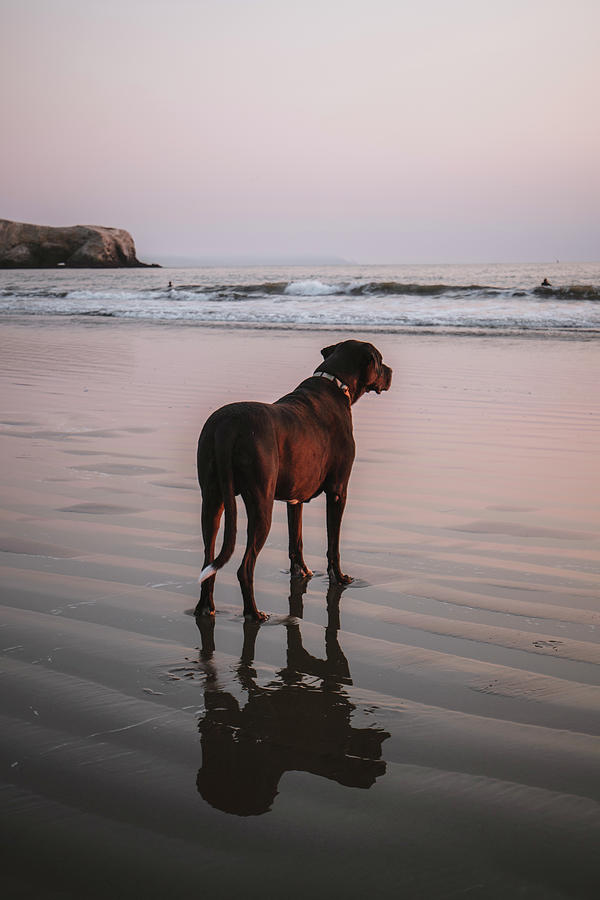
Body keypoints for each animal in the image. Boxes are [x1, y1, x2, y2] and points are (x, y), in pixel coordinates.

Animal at [196, 338, 394, 620]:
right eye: (380, 360)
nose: (391, 372)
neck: (335, 382)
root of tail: (228, 426)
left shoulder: (295, 497)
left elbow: (296, 539)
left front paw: (302, 571)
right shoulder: (338, 492)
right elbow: (333, 543)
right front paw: (339, 578)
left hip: (212, 499)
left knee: (208, 558)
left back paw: (206, 607)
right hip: (261, 504)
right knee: (245, 567)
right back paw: (254, 613)